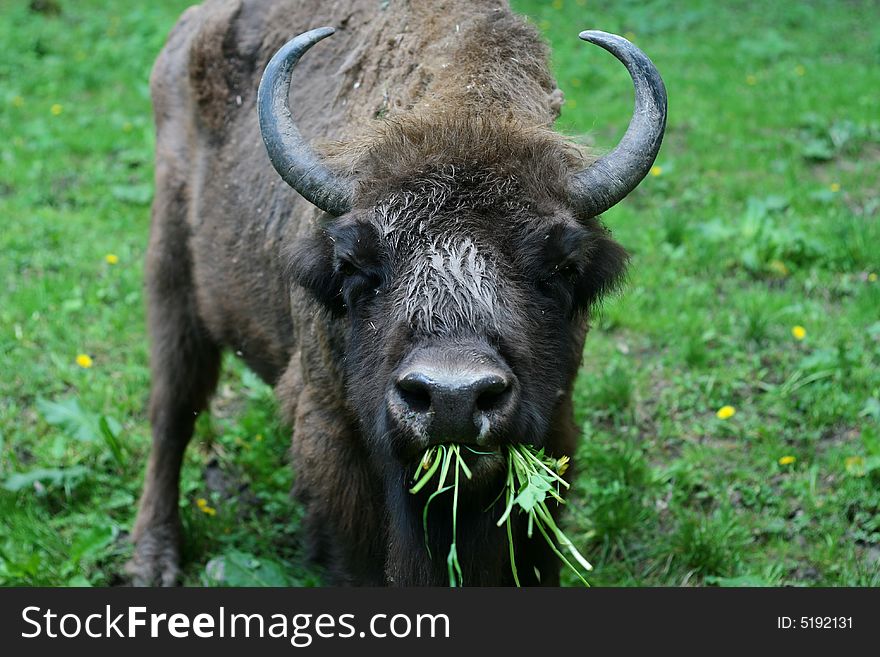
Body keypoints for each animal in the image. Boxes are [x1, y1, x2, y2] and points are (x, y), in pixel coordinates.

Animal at [129, 0, 668, 584]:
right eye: (353, 265)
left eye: (562, 267)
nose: (453, 398)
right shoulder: (333, 430)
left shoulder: (556, 425)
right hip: (170, 280)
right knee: (172, 415)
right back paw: (153, 561)